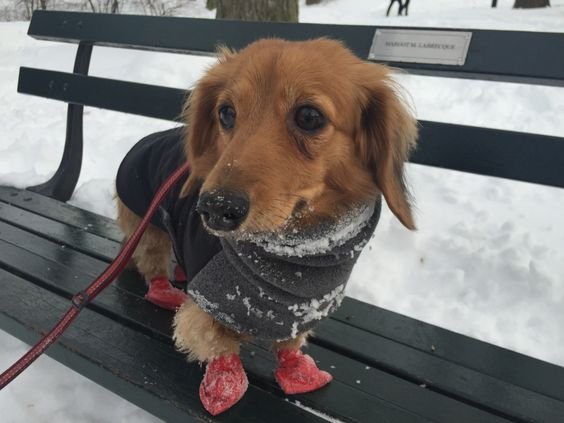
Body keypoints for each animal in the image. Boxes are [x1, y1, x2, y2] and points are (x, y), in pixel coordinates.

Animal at [114, 38, 416, 416]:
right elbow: (218, 345)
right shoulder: (210, 305)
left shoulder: (300, 310)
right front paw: (224, 385)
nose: (215, 208)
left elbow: (289, 344)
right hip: (148, 227)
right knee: (151, 263)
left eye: (309, 116)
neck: (295, 257)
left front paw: (298, 371)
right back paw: (164, 290)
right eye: (226, 113)